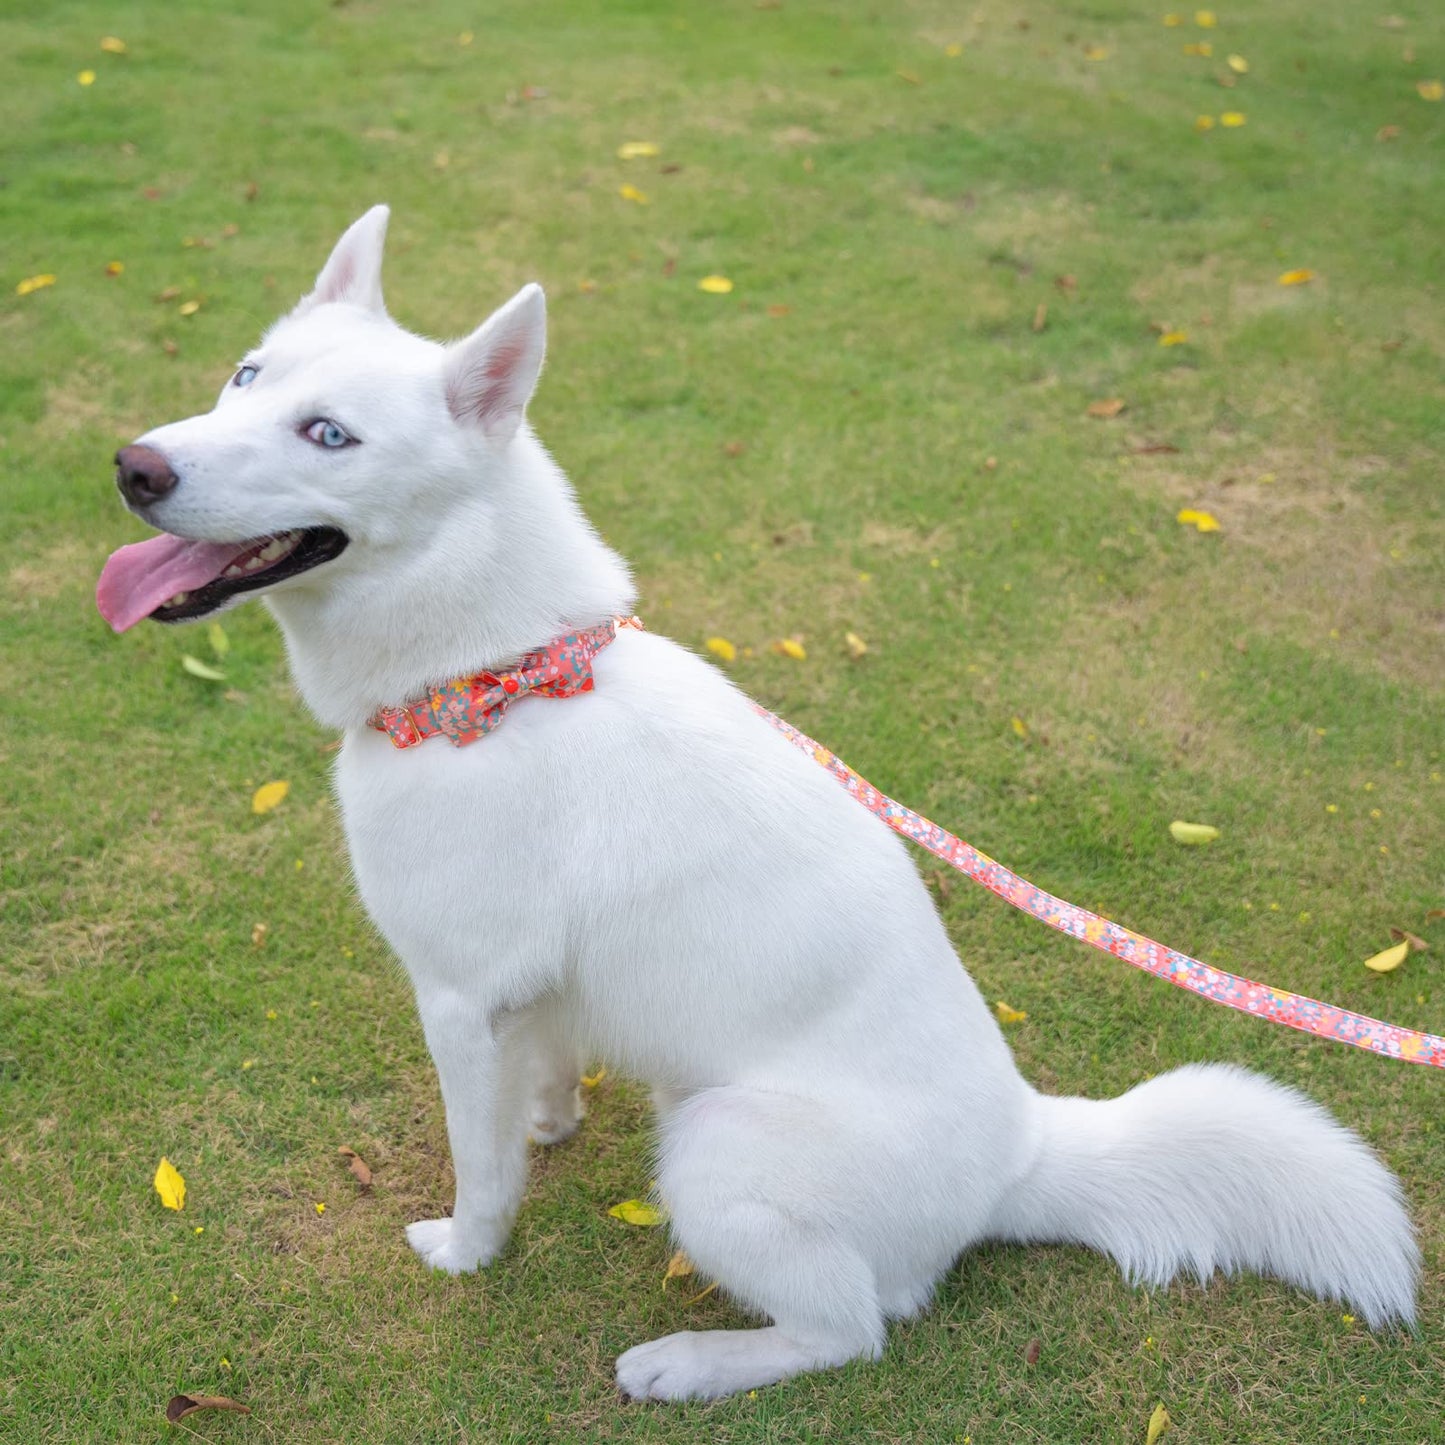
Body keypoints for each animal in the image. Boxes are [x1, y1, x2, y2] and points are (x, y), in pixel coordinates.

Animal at [96, 209, 1416, 1404]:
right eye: (245, 374)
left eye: (329, 434)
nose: (135, 466)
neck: (495, 676)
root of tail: (1024, 1152)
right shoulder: (527, 996)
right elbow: (543, 1085)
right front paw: (548, 1126)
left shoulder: (458, 999)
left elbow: (479, 1171)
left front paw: (469, 1251)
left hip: (715, 1143)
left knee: (852, 1329)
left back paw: (689, 1361)